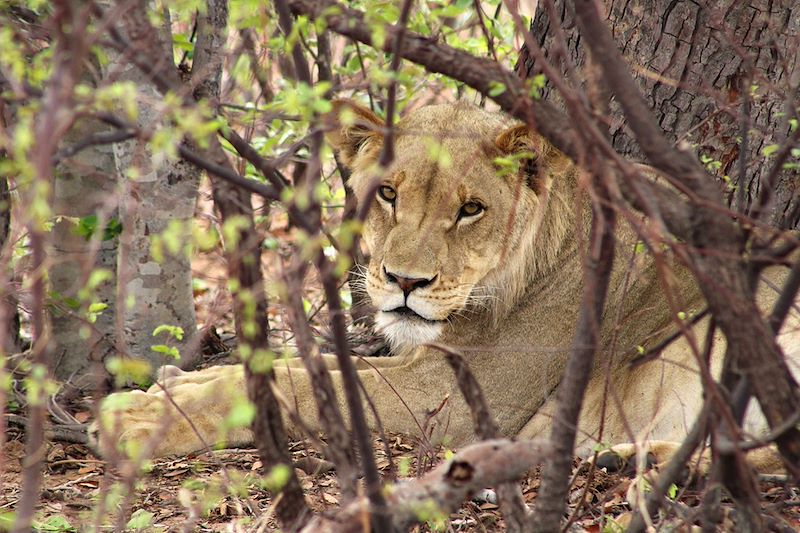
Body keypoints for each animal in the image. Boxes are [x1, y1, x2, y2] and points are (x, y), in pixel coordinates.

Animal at [93, 100, 800, 472]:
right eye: (386, 194)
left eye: (471, 210)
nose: (404, 281)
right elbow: (293, 363)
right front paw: (174, 381)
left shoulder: (457, 398)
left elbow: (299, 382)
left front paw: (137, 418)